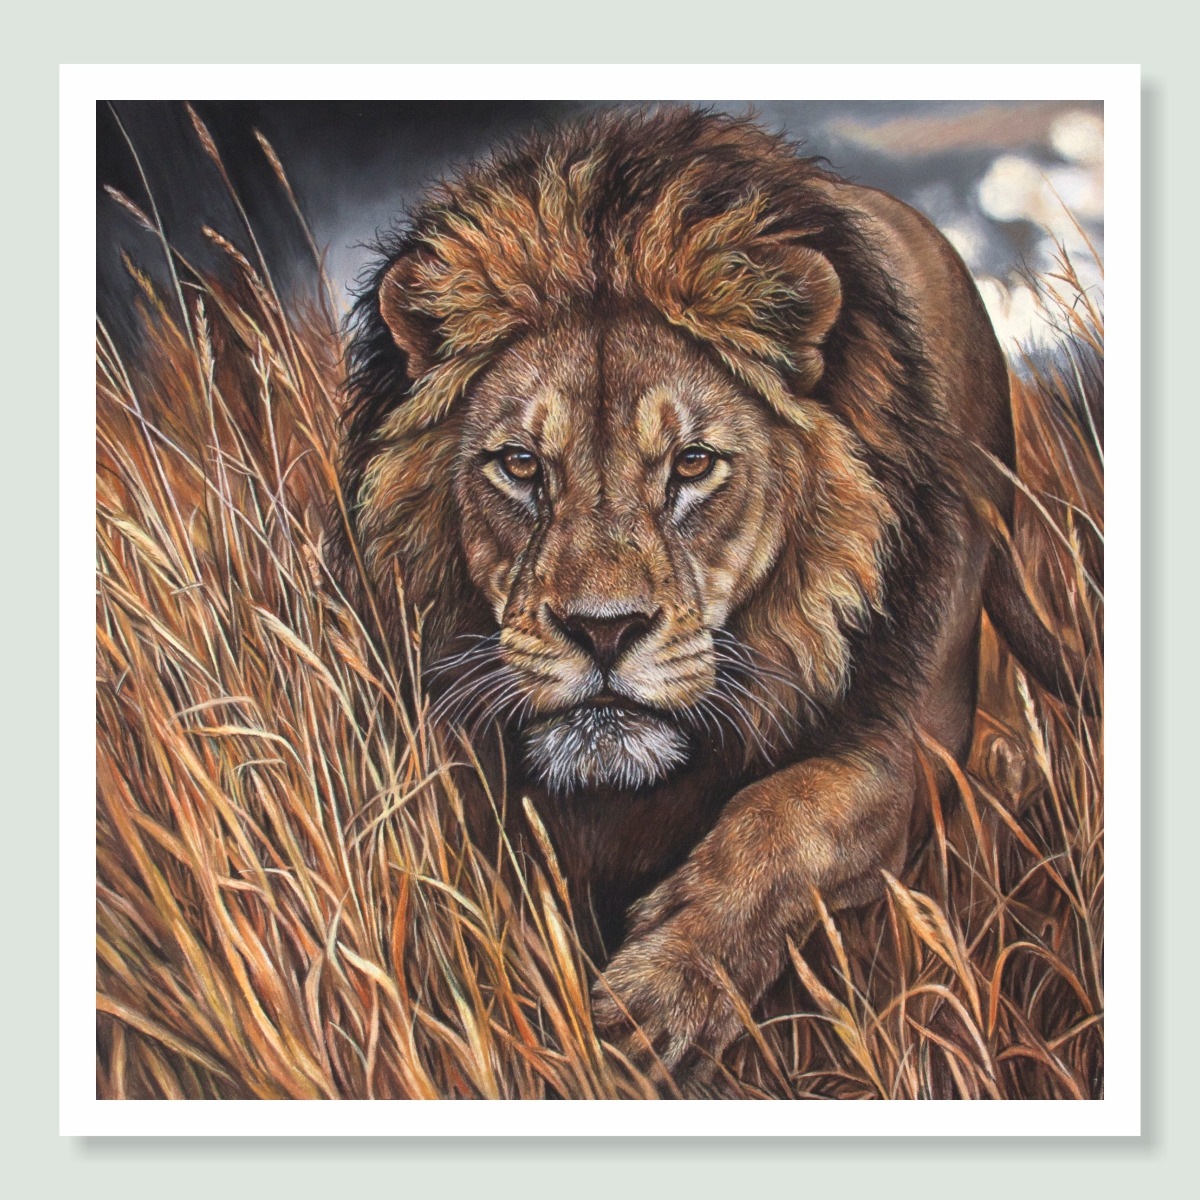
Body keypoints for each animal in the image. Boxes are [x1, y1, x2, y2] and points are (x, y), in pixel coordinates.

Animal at [338, 106, 1083, 1080]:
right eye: (521, 465)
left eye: (692, 464)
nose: (603, 632)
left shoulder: (914, 738)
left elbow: (790, 814)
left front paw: (662, 996)